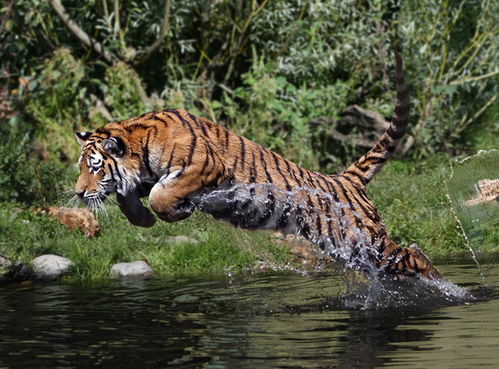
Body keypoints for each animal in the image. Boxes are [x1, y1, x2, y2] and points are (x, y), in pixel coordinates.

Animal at [73, 52, 442, 278]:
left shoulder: (205, 167)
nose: (77, 193)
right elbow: (128, 196)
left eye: (94, 167)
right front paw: (144, 219)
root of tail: (344, 179)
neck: (139, 145)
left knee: (412, 256)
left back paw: (447, 290)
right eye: (81, 167)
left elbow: (160, 195)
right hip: (351, 249)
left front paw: (172, 211)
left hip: (362, 239)